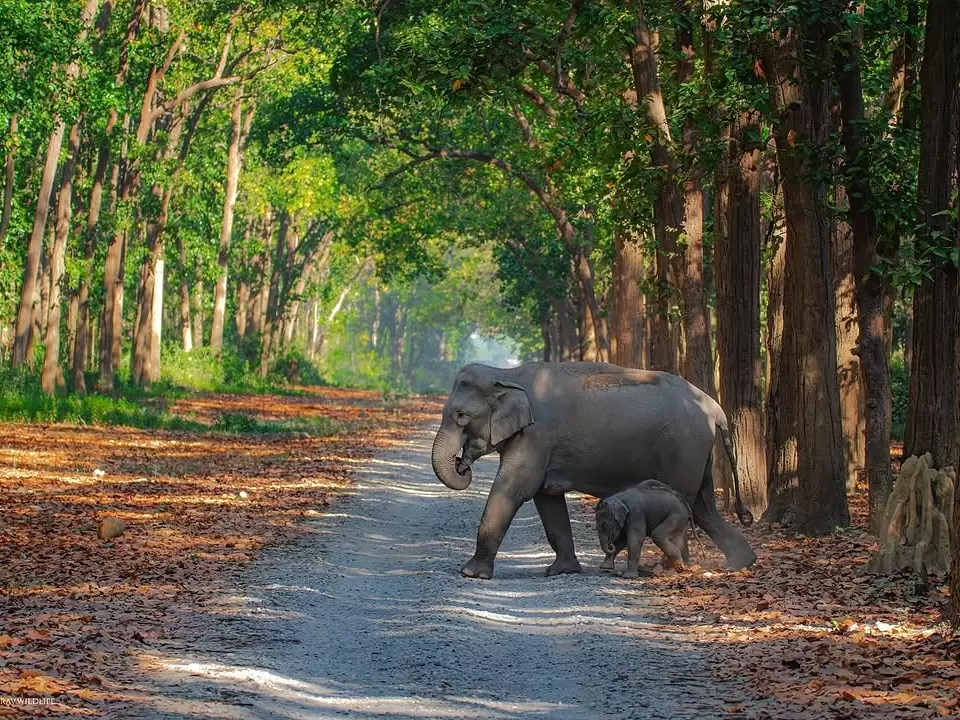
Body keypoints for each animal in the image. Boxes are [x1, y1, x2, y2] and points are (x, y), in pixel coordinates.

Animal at [430, 361, 755, 580]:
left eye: (461, 416)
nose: (462, 464)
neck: (507, 375)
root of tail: (715, 408)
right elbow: (547, 499)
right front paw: (561, 571)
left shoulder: (536, 437)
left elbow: (513, 489)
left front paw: (470, 573)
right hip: (697, 453)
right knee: (703, 508)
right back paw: (742, 562)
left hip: (684, 447)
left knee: (688, 504)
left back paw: (674, 567)